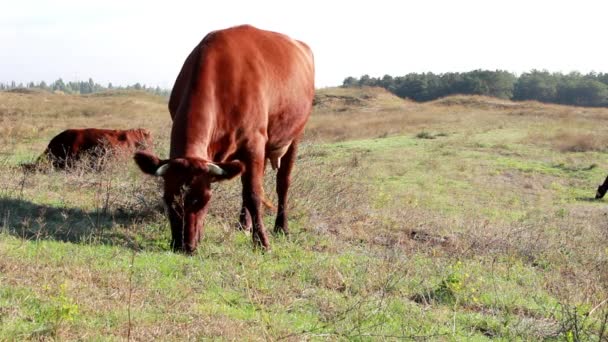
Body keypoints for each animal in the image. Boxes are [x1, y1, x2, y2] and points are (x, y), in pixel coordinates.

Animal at [133, 24, 314, 254]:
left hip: (294, 135)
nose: (184, 245)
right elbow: (248, 189)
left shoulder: (254, 143)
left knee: (283, 183)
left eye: (204, 200)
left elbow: (254, 193)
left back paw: (281, 227)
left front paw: (262, 242)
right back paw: (244, 224)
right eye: (167, 199)